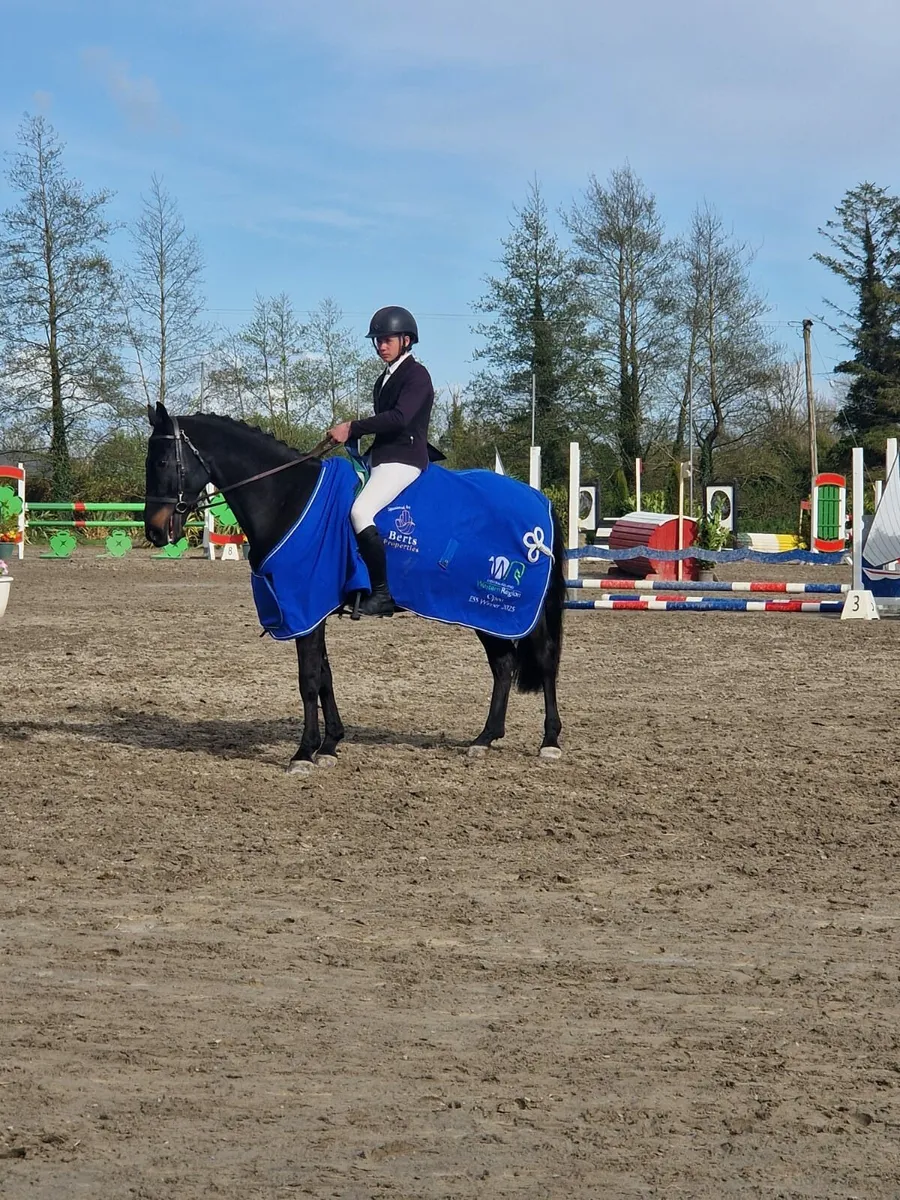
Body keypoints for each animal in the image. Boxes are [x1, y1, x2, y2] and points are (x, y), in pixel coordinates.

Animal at [143, 403, 565, 773]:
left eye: (160, 462)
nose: (155, 531)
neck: (289, 495)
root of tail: (538, 499)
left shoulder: (305, 604)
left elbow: (308, 679)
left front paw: (304, 753)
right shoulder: (314, 609)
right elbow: (325, 676)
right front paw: (330, 745)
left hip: (511, 608)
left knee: (543, 660)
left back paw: (550, 741)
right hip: (483, 611)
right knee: (503, 664)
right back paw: (485, 739)